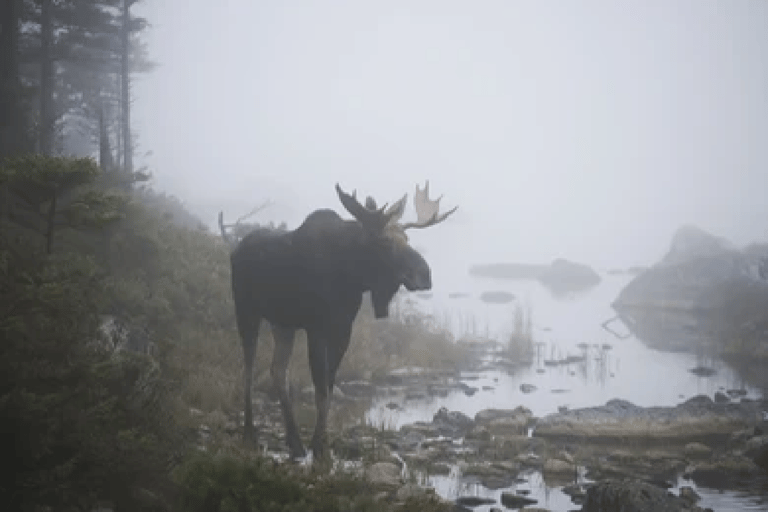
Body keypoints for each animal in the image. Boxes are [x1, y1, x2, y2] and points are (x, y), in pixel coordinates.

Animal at [228, 183, 456, 460]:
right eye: (385, 241)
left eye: (407, 239)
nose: (425, 275)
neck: (352, 277)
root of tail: (235, 250)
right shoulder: (316, 328)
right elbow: (321, 390)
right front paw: (320, 447)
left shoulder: (343, 329)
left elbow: (329, 386)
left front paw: (320, 443)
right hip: (246, 310)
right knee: (248, 369)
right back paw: (249, 433)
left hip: (283, 324)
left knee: (278, 370)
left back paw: (294, 441)